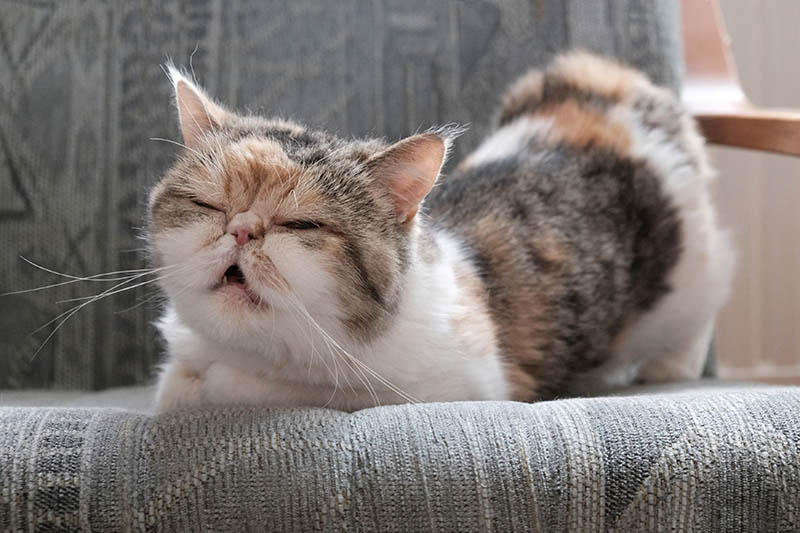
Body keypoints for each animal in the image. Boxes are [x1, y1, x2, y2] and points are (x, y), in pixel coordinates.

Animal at [150, 52, 732, 412]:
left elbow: (292, 390)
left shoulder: (459, 386)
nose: (243, 231)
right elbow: (177, 385)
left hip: (696, 277)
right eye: (208, 205)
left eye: (301, 224)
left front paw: (221, 383)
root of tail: (604, 84)